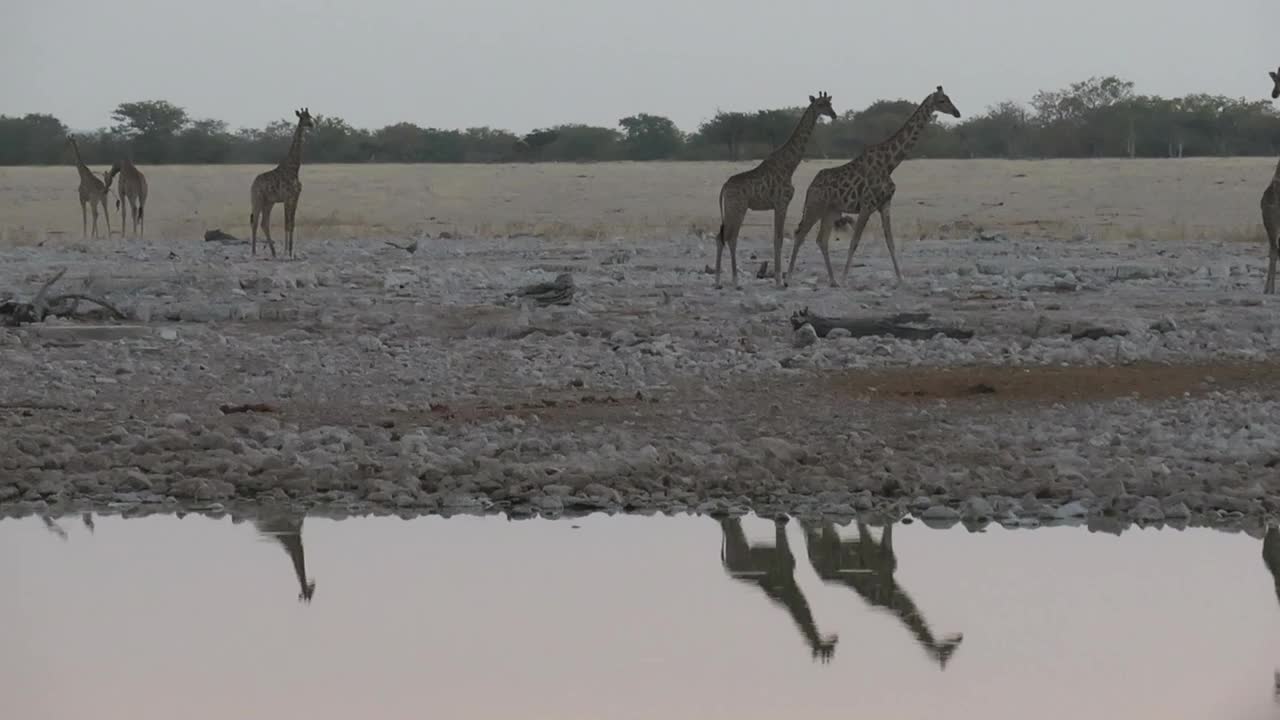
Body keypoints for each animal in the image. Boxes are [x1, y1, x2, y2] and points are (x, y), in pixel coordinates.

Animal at [248, 107, 313, 258]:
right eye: (302, 117)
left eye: (310, 116)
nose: (312, 125)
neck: (294, 168)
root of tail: (253, 183)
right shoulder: (287, 198)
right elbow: (286, 223)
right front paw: (286, 252)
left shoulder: (295, 197)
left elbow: (292, 223)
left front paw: (290, 251)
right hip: (257, 199)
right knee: (255, 222)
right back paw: (253, 252)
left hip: (269, 202)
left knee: (264, 223)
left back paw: (273, 252)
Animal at [711, 90, 839, 286]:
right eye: (820, 104)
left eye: (830, 103)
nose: (834, 115)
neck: (789, 166)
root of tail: (724, 187)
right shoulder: (781, 203)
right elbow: (778, 239)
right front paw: (779, 280)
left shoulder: (777, 205)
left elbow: (776, 239)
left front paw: (778, 278)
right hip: (737, 208)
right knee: (729, 238)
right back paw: (733, 281)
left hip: (733, 209)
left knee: (723, 237)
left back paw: (719, 281)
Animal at [721, 515, 839, 661]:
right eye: (827, 649)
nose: (835, 638)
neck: (789, 587)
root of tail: (728, 568)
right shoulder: (784, 560)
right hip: (738, 553)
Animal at [783, 84, 962, 285]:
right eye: (942, 100)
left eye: (949, 98)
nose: (957, 113)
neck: (889, 164)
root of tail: (810, 186)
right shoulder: (867, 205)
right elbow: (854, 242)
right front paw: (845, 278)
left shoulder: (885, 204)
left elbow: (890, 242)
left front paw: (901, 278)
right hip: (815, 207)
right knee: (800, 234)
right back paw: (789, 278)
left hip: (831, 211)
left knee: (821, 239)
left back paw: (832, 280)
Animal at [793, 517, 962, 671]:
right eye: (947, 654)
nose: (959, 639)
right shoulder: (868, 551)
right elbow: (862, 525)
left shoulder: (883, 551)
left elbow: (887, 529)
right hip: (825, 545)